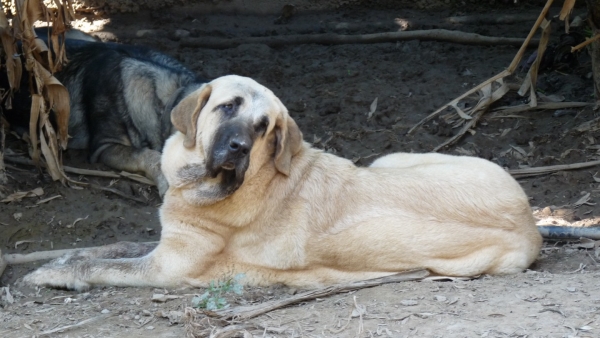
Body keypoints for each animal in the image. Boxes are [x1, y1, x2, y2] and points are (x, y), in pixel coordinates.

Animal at [23, 76, 544, 290]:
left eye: (264, 128)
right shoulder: (162, 242)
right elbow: (108, 248)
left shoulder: (166, 266)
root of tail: (533, 223)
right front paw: (58, 259)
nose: (238, 148)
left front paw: (53, 274)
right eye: (228, 107)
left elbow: (104, 264)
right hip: (388, 159)